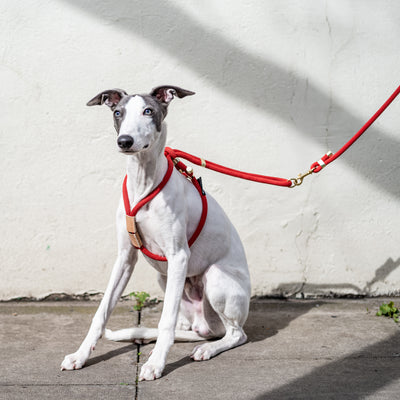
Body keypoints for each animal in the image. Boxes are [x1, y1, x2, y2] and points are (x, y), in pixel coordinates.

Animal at [61, 86, 250, 382]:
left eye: (148, 111)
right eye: (118, 112)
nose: (124, 141)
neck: (143, 181)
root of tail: (208, 327)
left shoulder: (179, 256)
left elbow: (165, 321)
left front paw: (156, 364)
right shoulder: (125, 258)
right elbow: (101, 313)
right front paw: (80, 355)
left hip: (216, 278)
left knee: (236, 334)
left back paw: (207, 348)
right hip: (164, 278)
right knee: (196, 327)